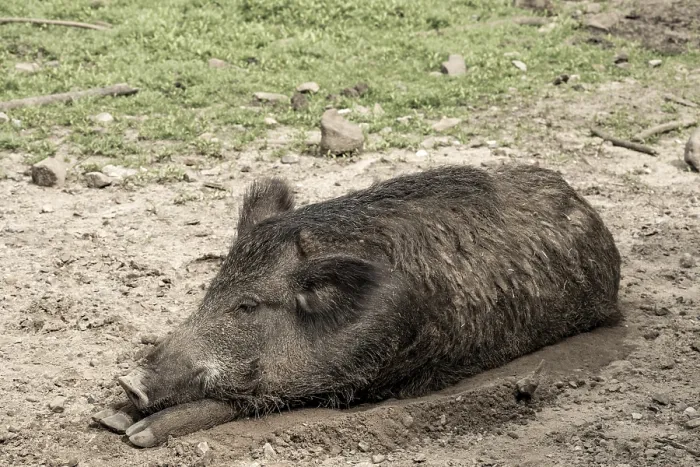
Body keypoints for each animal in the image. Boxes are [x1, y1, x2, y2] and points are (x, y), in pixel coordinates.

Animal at [94, 164, 621, 447]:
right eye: (212, 288)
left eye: (247, 306)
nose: (129, 380)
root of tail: (589, 207)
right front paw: (109, 419)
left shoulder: (365, 378)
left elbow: (238, 399)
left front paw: (134, 434)